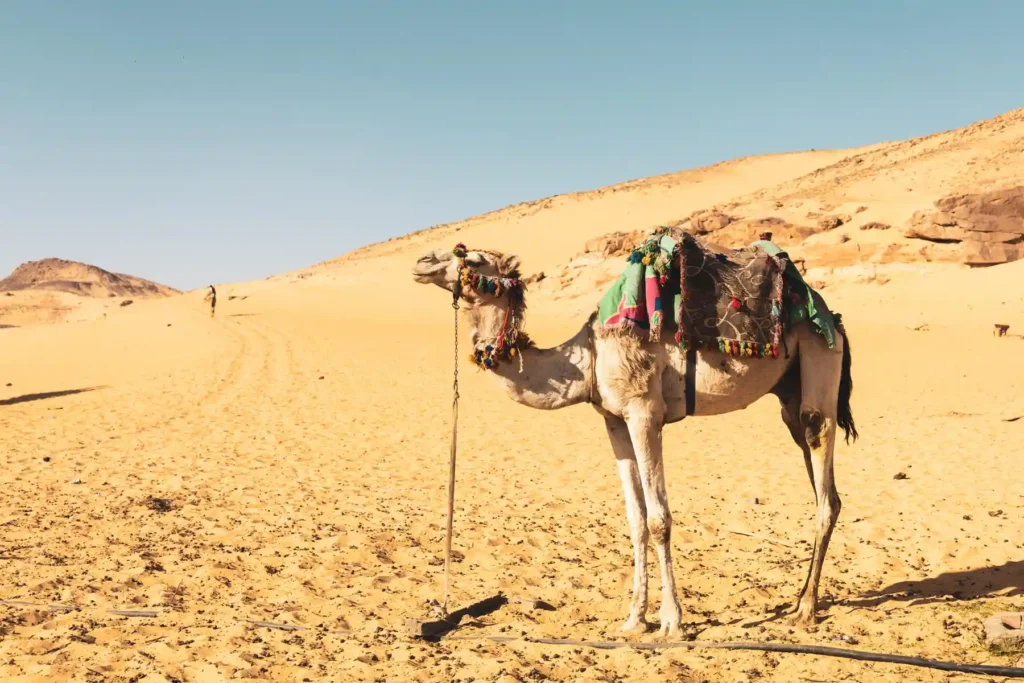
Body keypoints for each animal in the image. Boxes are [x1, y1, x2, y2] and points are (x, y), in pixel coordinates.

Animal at [412, 242, 857, 635]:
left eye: (472, 258)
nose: (421, 261)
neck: (588, 357)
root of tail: (834, 319)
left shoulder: (644, 413)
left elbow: (660, 519)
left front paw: (672, 622)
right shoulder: (613, 419)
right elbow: (636, 519)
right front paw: (634, 619)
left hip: (819, 361)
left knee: (822, 469)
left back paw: (806, 610)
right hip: (788, 393)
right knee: (824, 484)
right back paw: (799, 601)